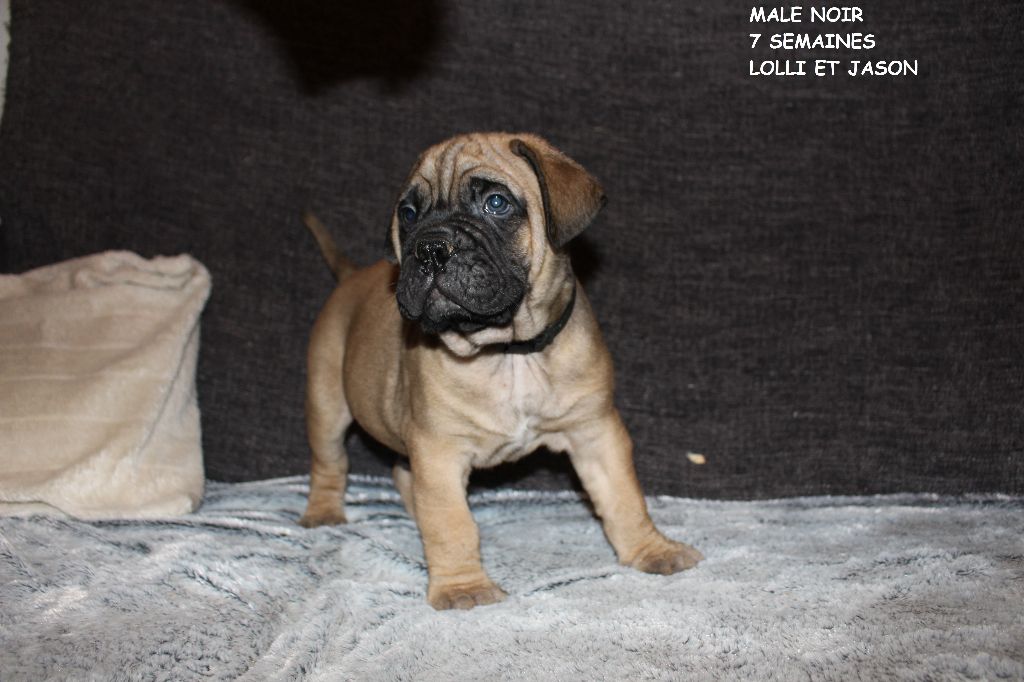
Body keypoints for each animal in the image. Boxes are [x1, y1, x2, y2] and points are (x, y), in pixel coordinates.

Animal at [300, 132, 703, 609]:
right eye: (409, 214)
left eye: (496, 203)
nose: (429, 248)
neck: (510, 353)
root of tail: (350, 277)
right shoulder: (439, 451)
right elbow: (451, 524)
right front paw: (463, 587)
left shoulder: (595, 432)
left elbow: (624, 498)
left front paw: (651, 549)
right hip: (327, 404)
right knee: (331, 462)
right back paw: (324, 512)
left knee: (402, 474)